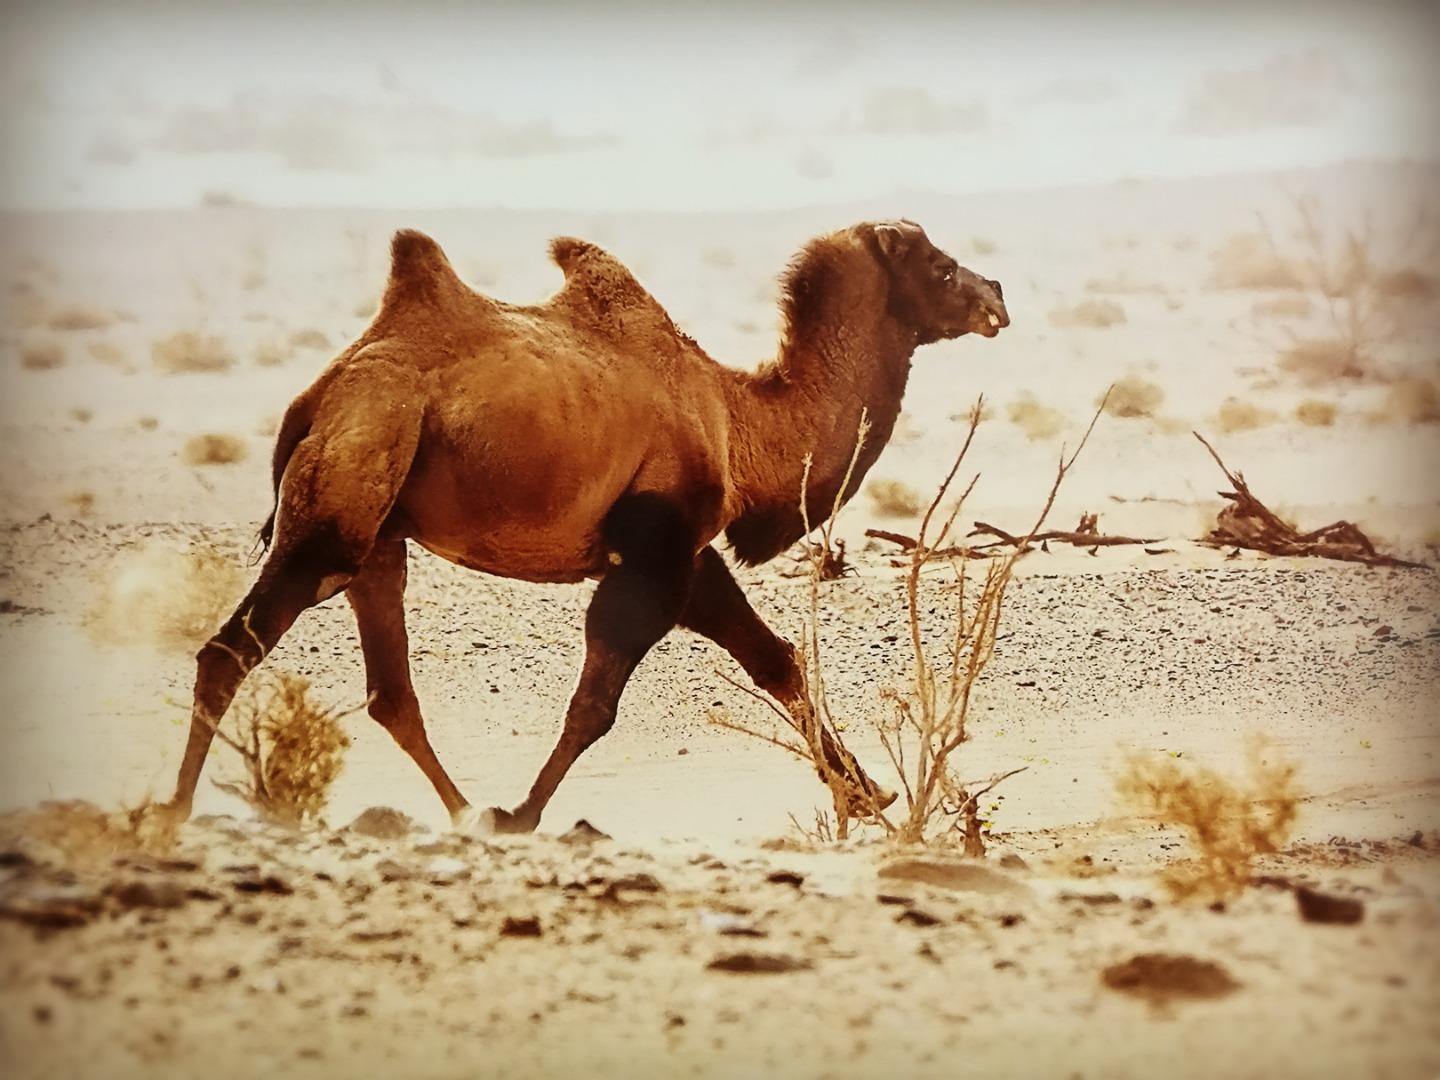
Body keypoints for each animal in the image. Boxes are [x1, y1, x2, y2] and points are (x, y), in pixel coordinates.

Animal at [160, 216, 1013, 835]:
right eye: (939, 268)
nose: (997, 294)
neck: (738, 418)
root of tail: (320, 395)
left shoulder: (688, 555)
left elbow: (774, 660)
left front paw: (865, 794)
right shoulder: (655, 552)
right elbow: (596, 703)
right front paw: (522, 815)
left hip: (380, 533)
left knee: (389, 690)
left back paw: (461, 810)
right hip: (344, 494)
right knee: (230, 651)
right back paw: (177, 810)